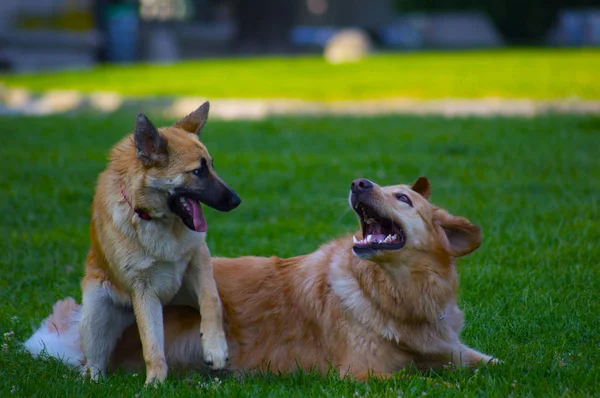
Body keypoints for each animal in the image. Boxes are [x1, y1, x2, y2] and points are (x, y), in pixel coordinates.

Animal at [25, 177, 496, 380]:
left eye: (403, 197)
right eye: (387, 189)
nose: (359, 182)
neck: (396, 296)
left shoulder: (447, 344)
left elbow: (488, 361)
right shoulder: (365, 373)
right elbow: (422, 376)